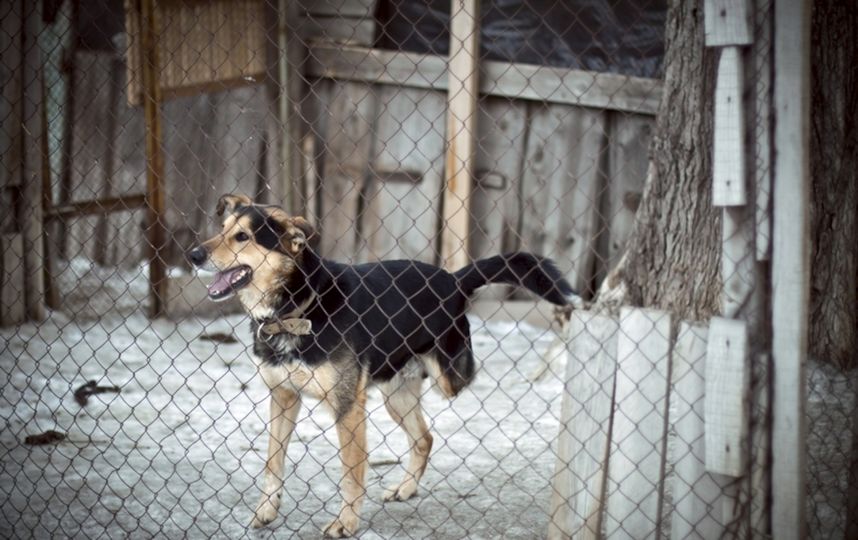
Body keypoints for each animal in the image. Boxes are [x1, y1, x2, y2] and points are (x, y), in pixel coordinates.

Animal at [188, 193, 576, 536]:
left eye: (243, 237)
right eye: (221, 229)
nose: (193, 254)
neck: (296, 310)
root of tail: (453, 279)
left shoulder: (347, 406)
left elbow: (351, 471)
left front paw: (345, 523)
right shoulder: (283, 397)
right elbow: (273, 460)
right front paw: (267, 510)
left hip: (447, 377)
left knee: (454, 395)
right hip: (396, 395)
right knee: (424, 438)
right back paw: (405, 489)